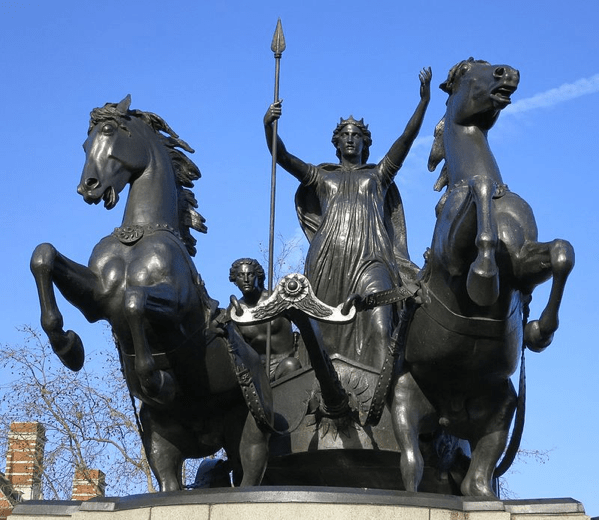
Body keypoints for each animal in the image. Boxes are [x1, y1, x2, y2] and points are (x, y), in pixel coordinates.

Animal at [30, 95, 270, 490]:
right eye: (84, 143)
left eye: (109, 131)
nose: (88, 187)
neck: (140, 234)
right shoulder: (98, 298)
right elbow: (44, 256)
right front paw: (69, 348)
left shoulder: (177, 308)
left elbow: (134, 302)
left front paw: (155, 379)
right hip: (161, 443)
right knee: (170, 481)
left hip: (250, 434)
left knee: (251, 476)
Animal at [392, 59, 576, 498]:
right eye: (466, 71)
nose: (507, 73)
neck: (497, 198)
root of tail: (448, 415)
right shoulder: (452, 258)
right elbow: (479, 203)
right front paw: (483, 277)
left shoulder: (524, 261)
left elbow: (562, 252)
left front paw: (539, 331)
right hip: (405, 399)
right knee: (411, 467)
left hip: (503, 407)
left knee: (477, 480)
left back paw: (484, 497)